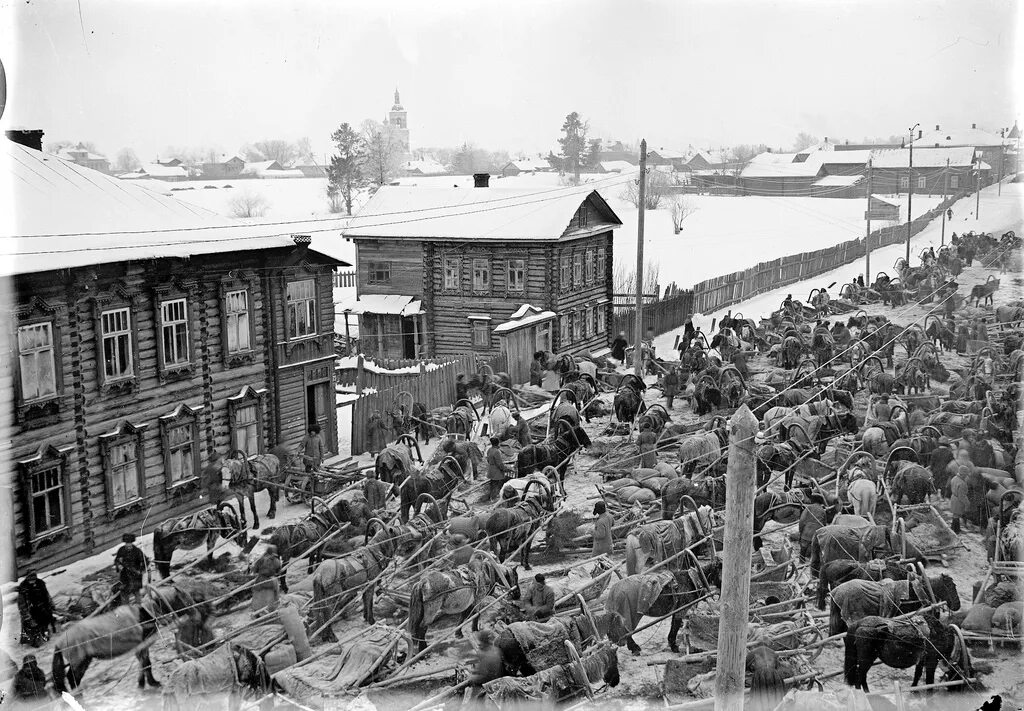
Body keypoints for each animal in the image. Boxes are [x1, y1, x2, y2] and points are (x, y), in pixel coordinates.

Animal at [51, 586, 199, 692]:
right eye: (185, 597)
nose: (197, 613)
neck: (145, 614)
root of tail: (59, 642)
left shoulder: (141, 648)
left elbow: (145, 665)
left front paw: (144, 684)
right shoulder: (141, 647)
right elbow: (146, 665)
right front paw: (150, 684)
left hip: (84, 661)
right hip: (79, 661)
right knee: (72, 679)